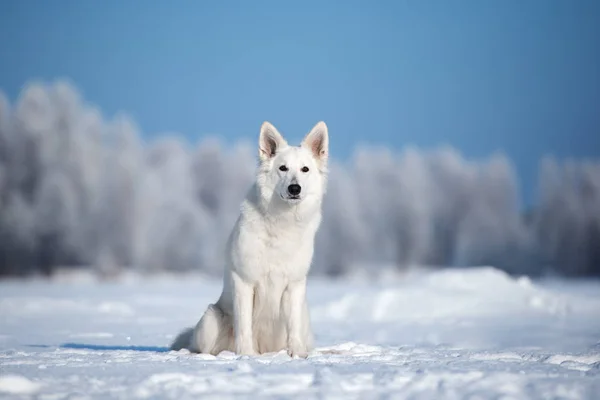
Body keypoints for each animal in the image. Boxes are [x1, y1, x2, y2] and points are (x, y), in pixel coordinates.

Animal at [171, 120, 330, 358]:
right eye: (282, 168)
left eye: (305, 169)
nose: (294, 188)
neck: (281, 223)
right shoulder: (244, 282)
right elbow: (244, 325)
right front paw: (247, 355)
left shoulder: (294, 285)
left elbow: (293, 327)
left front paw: (296, 354)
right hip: (210, 320)